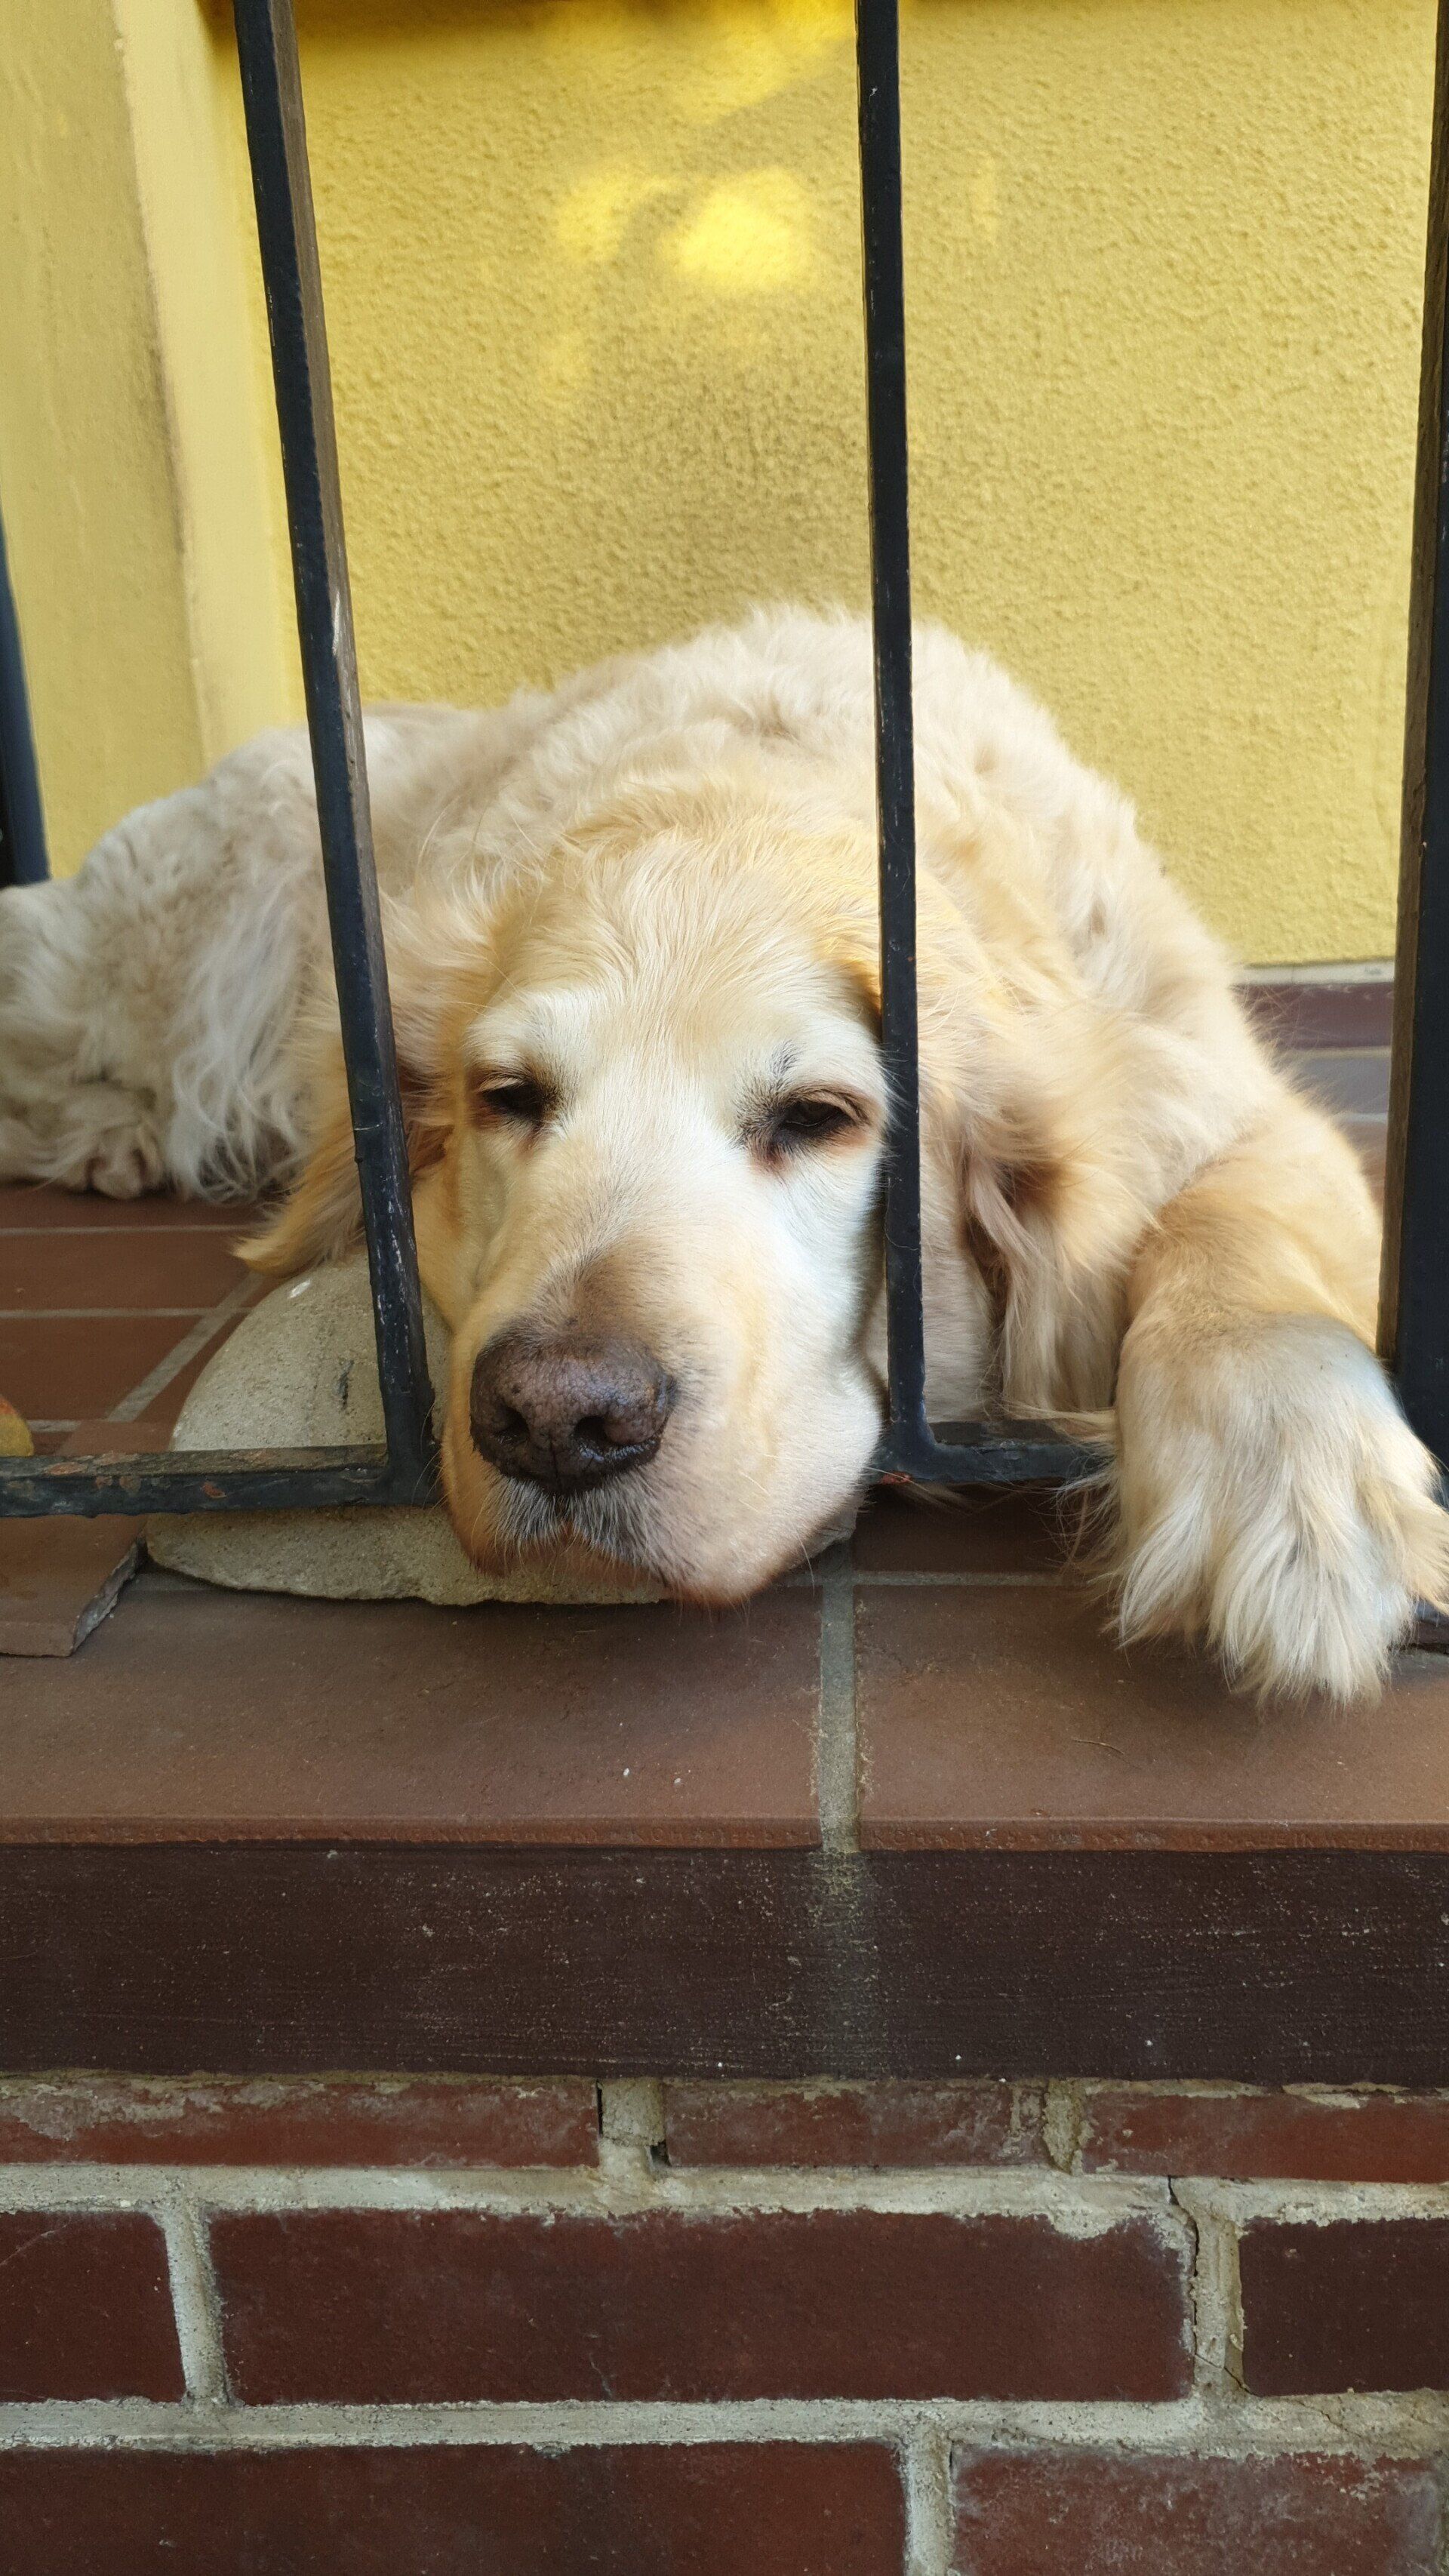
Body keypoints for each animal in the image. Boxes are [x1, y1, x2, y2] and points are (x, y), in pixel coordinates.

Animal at [1, 607, 1442, 1695]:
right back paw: (110, 1135)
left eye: (818, 1116)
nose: (556, 1420)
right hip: (176, 963)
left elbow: (1235, 1221)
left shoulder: (1210, 1076)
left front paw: (1297, 1486)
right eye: (509, 1098)